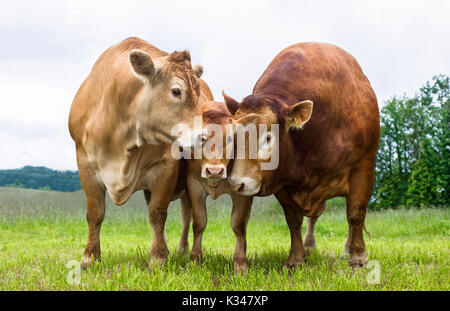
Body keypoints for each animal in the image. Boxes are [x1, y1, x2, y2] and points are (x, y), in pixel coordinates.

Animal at [69, 37, 210, 268]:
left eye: (198, 93)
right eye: (176, 91)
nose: (204, 137)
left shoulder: (166, 168)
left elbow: (157, 214)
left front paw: (158, 258)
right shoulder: (85, 165)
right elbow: (95, 214)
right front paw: (90, 256)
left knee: (186, 213)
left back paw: (182, 249)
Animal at [223, 42, 378, 272]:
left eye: (268, 137)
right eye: (233, 136)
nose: (237, 183)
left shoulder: (362, 168)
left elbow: (356, 214)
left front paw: (358, 256)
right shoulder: (282, 183)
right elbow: (293, 220)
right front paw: (296, 257)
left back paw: (347, 249)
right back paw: (309, 245)